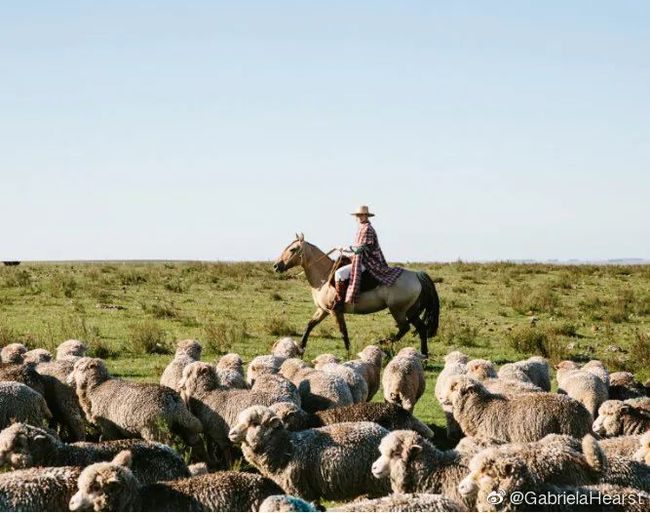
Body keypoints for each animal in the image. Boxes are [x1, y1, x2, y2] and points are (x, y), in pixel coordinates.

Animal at [270, 233, 438, 356]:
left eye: (293, 249)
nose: (276, 266)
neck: (324, 278)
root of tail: (416, 275)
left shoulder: (335, 311)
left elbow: (343, 331)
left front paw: (348, 353)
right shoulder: (323, 310)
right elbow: (309, 325)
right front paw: (300, 348)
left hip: (398, 310)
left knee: (404, 328)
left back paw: (380, 343)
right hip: (411, 311)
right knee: (421, 329)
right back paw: (424, 356)